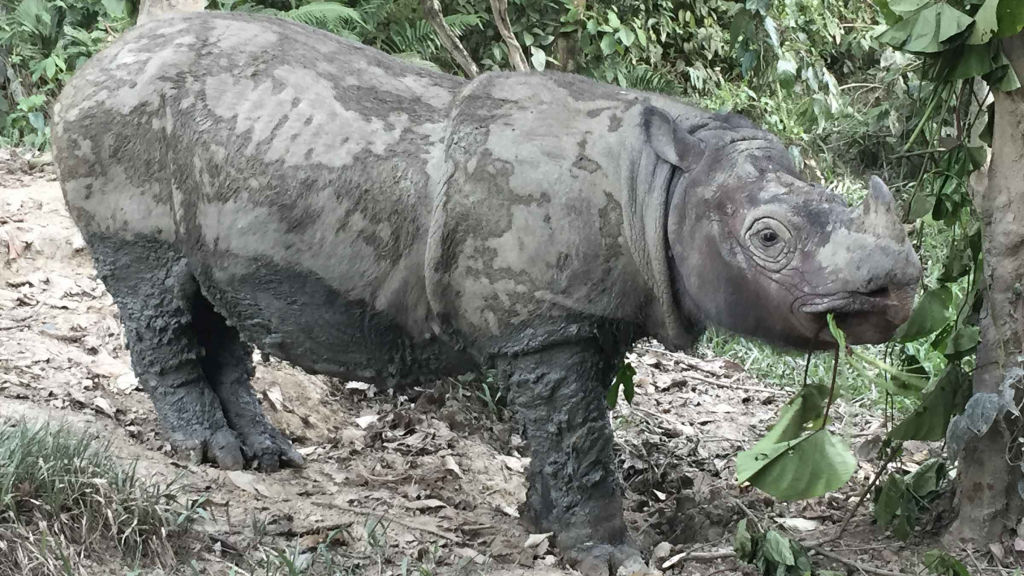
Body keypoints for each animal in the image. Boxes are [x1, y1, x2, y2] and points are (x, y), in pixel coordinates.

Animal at [51, 10, 925, 573]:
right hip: (125, 123)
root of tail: (95, 62)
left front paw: (542, 522)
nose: (898, 287)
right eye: (768, 239)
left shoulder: (574, 318)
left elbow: (569, 429)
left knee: (213, 299)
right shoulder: (547, 323)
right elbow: (580, 434)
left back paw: (264, 458)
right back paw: (206, 454)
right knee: (159, 290)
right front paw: (609, 557)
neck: (661, 183)